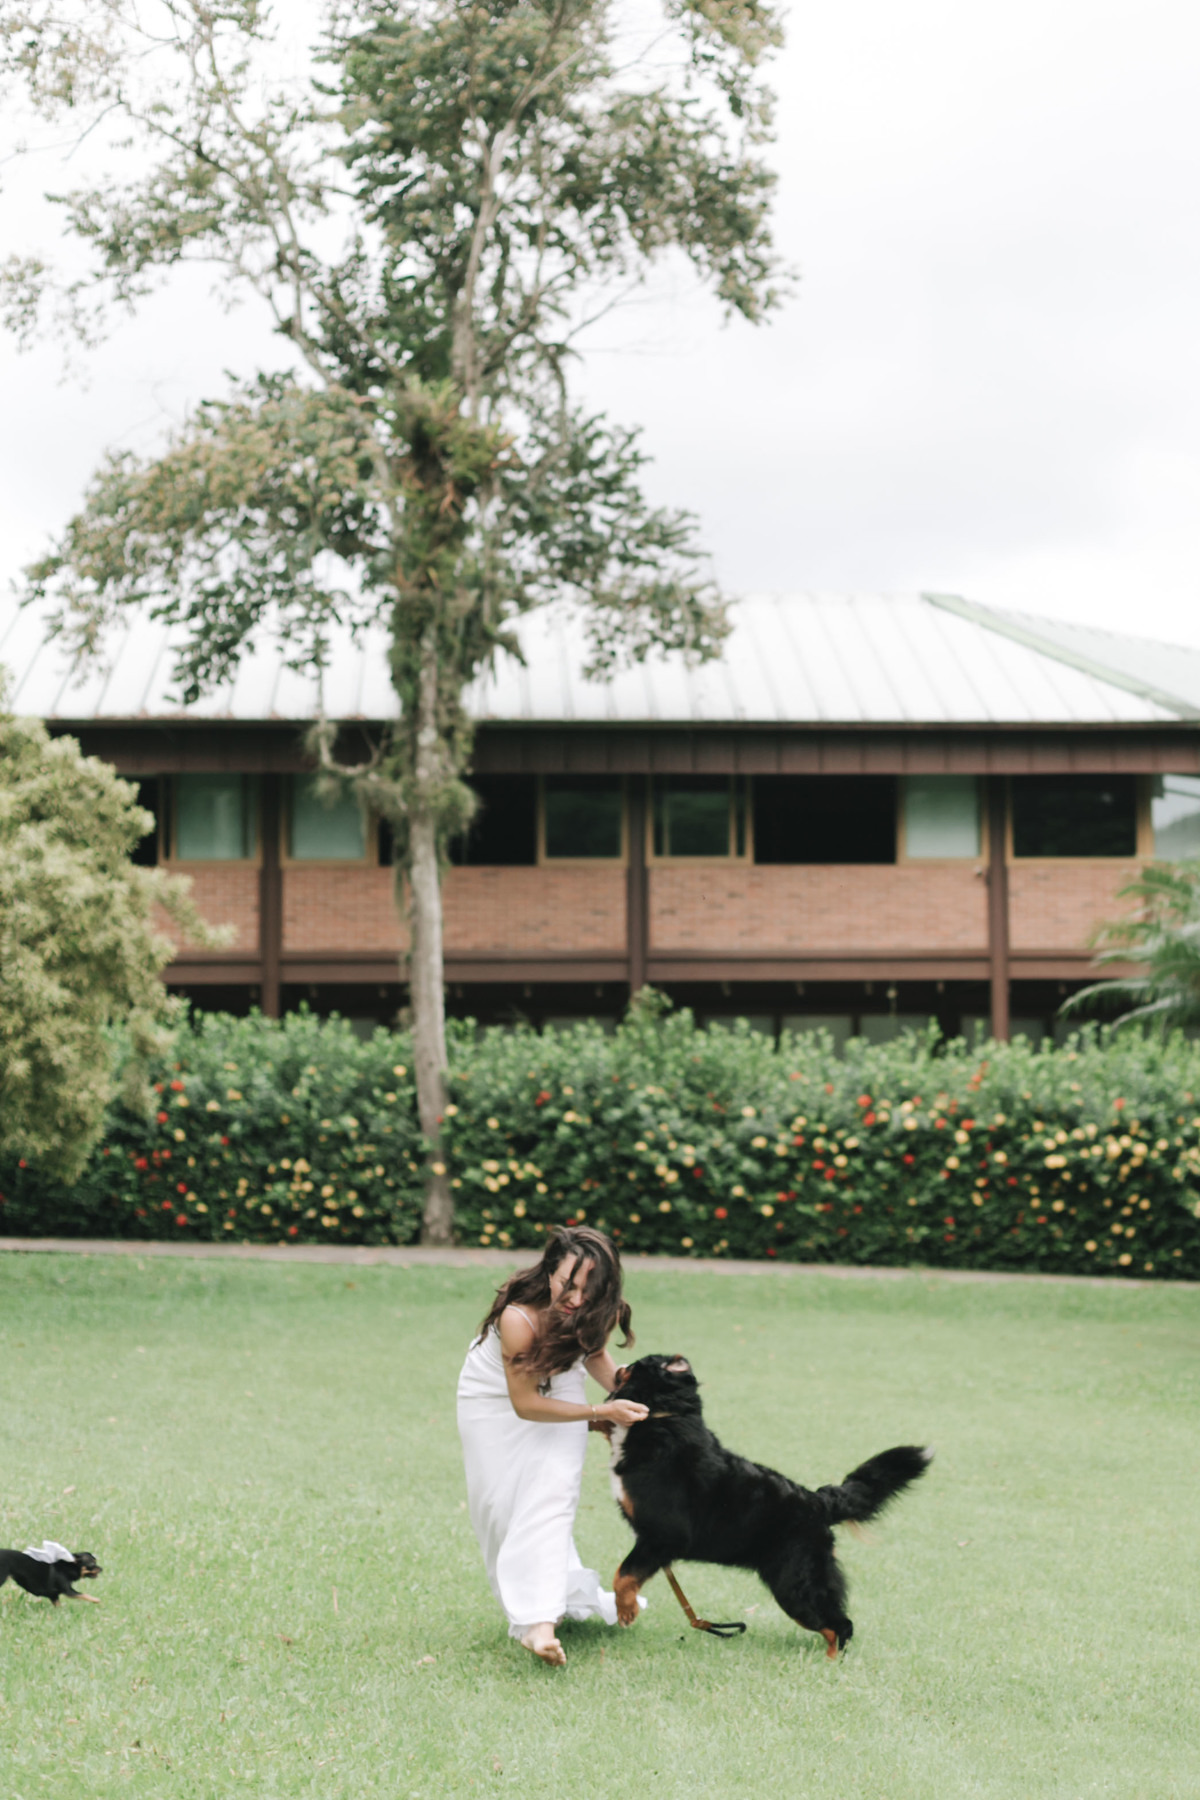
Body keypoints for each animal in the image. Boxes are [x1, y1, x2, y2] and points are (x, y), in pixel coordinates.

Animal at [606, 1355, 930, 1656]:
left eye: (635, 1364)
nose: (618, 1365)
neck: (664, 1418)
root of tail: (817, 1501)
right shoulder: (654, 1540)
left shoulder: (663, 1535)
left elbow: (623, 1575)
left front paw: (626, 1610)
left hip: (795, 1584)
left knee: (839, 1625)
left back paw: (829, 1663)